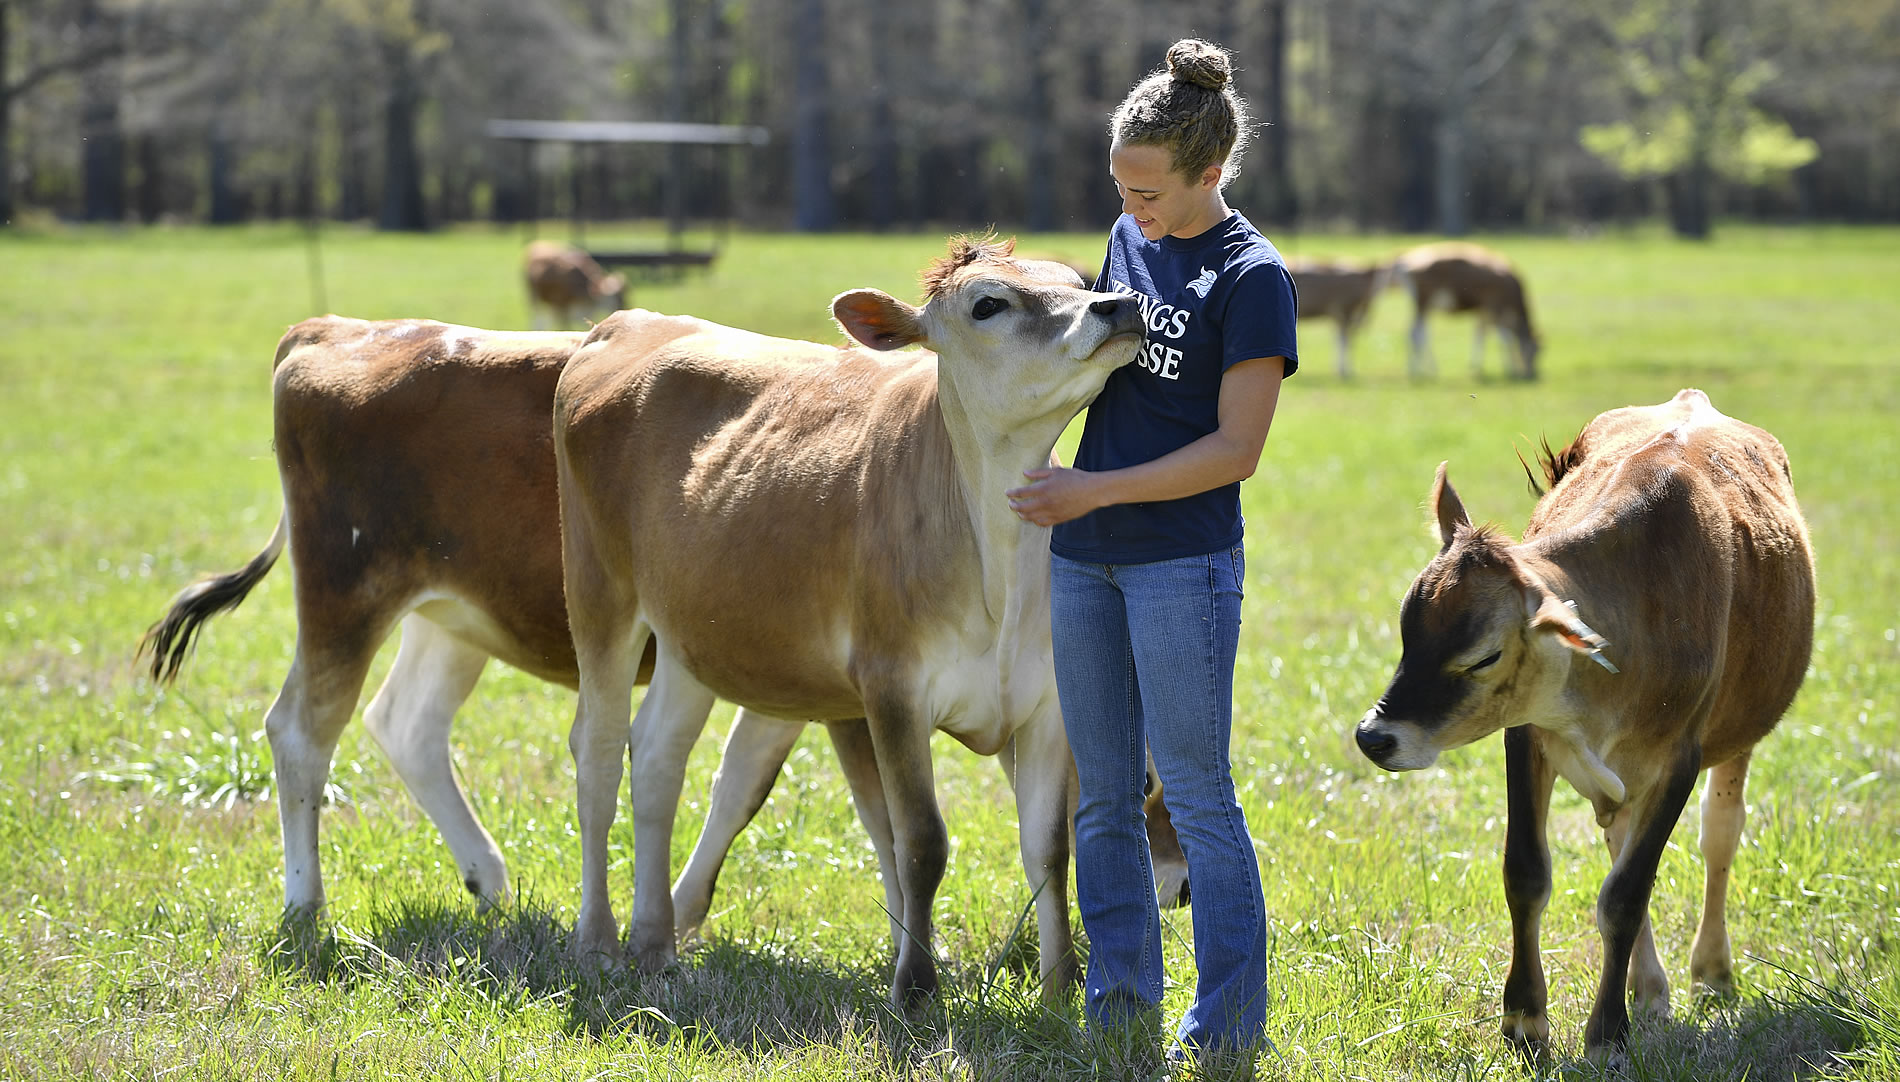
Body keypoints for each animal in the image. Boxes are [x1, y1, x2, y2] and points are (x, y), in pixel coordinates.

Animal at [140, 311, 1185, 943]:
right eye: (1143, 780)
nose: (1178, 887)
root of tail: (338, 329)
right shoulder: (848, 689)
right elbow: (845, 809)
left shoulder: (793, 684)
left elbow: (751, 787)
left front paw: (678, 912)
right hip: (346, 587)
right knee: (300, 731)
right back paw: (306, 903)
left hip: (451, 611)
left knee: (407, 723)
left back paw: (490, 878)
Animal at [551, 235, 1140, 1004]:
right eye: (988, 304)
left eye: (1078, 281)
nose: (1120, 305)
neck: (998, 571)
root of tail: (624, 324)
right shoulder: (891, 688)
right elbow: (918, 841)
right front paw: (915, 987)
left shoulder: (1046, 701)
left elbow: (1048, 847)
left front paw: (1061, 989)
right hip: (600, 592)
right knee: (597, 751)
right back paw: (596, 940)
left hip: (693, 630)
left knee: (655, 756)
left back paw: (655, 944)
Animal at [1360, 387, 1816, 1057]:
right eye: (1406, 629)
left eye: (1484, 655)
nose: (1375, 736)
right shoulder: (1526, 736)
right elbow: (1527, 872)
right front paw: (1525, 1018)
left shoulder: (1678, 760)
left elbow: (1626, 894)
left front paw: (1606, 1033)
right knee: (1620, 837)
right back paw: (1648, 987)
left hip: (1738, 736)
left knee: (1719, 834)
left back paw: (1711, 972)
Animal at [1398, 240, 1542, 380]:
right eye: (1536, 350)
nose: (1532, 374)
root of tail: (1408, 269)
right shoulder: (1495, 307)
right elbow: (1505, 339)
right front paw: (1511, 370)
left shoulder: (1483, 312)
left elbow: (1481, 335)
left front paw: (1477, 367)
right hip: (1422, 302)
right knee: (1414, 332)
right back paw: (1416, 371)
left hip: (1425, 305)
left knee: (1419, 332)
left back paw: (1425, 369)